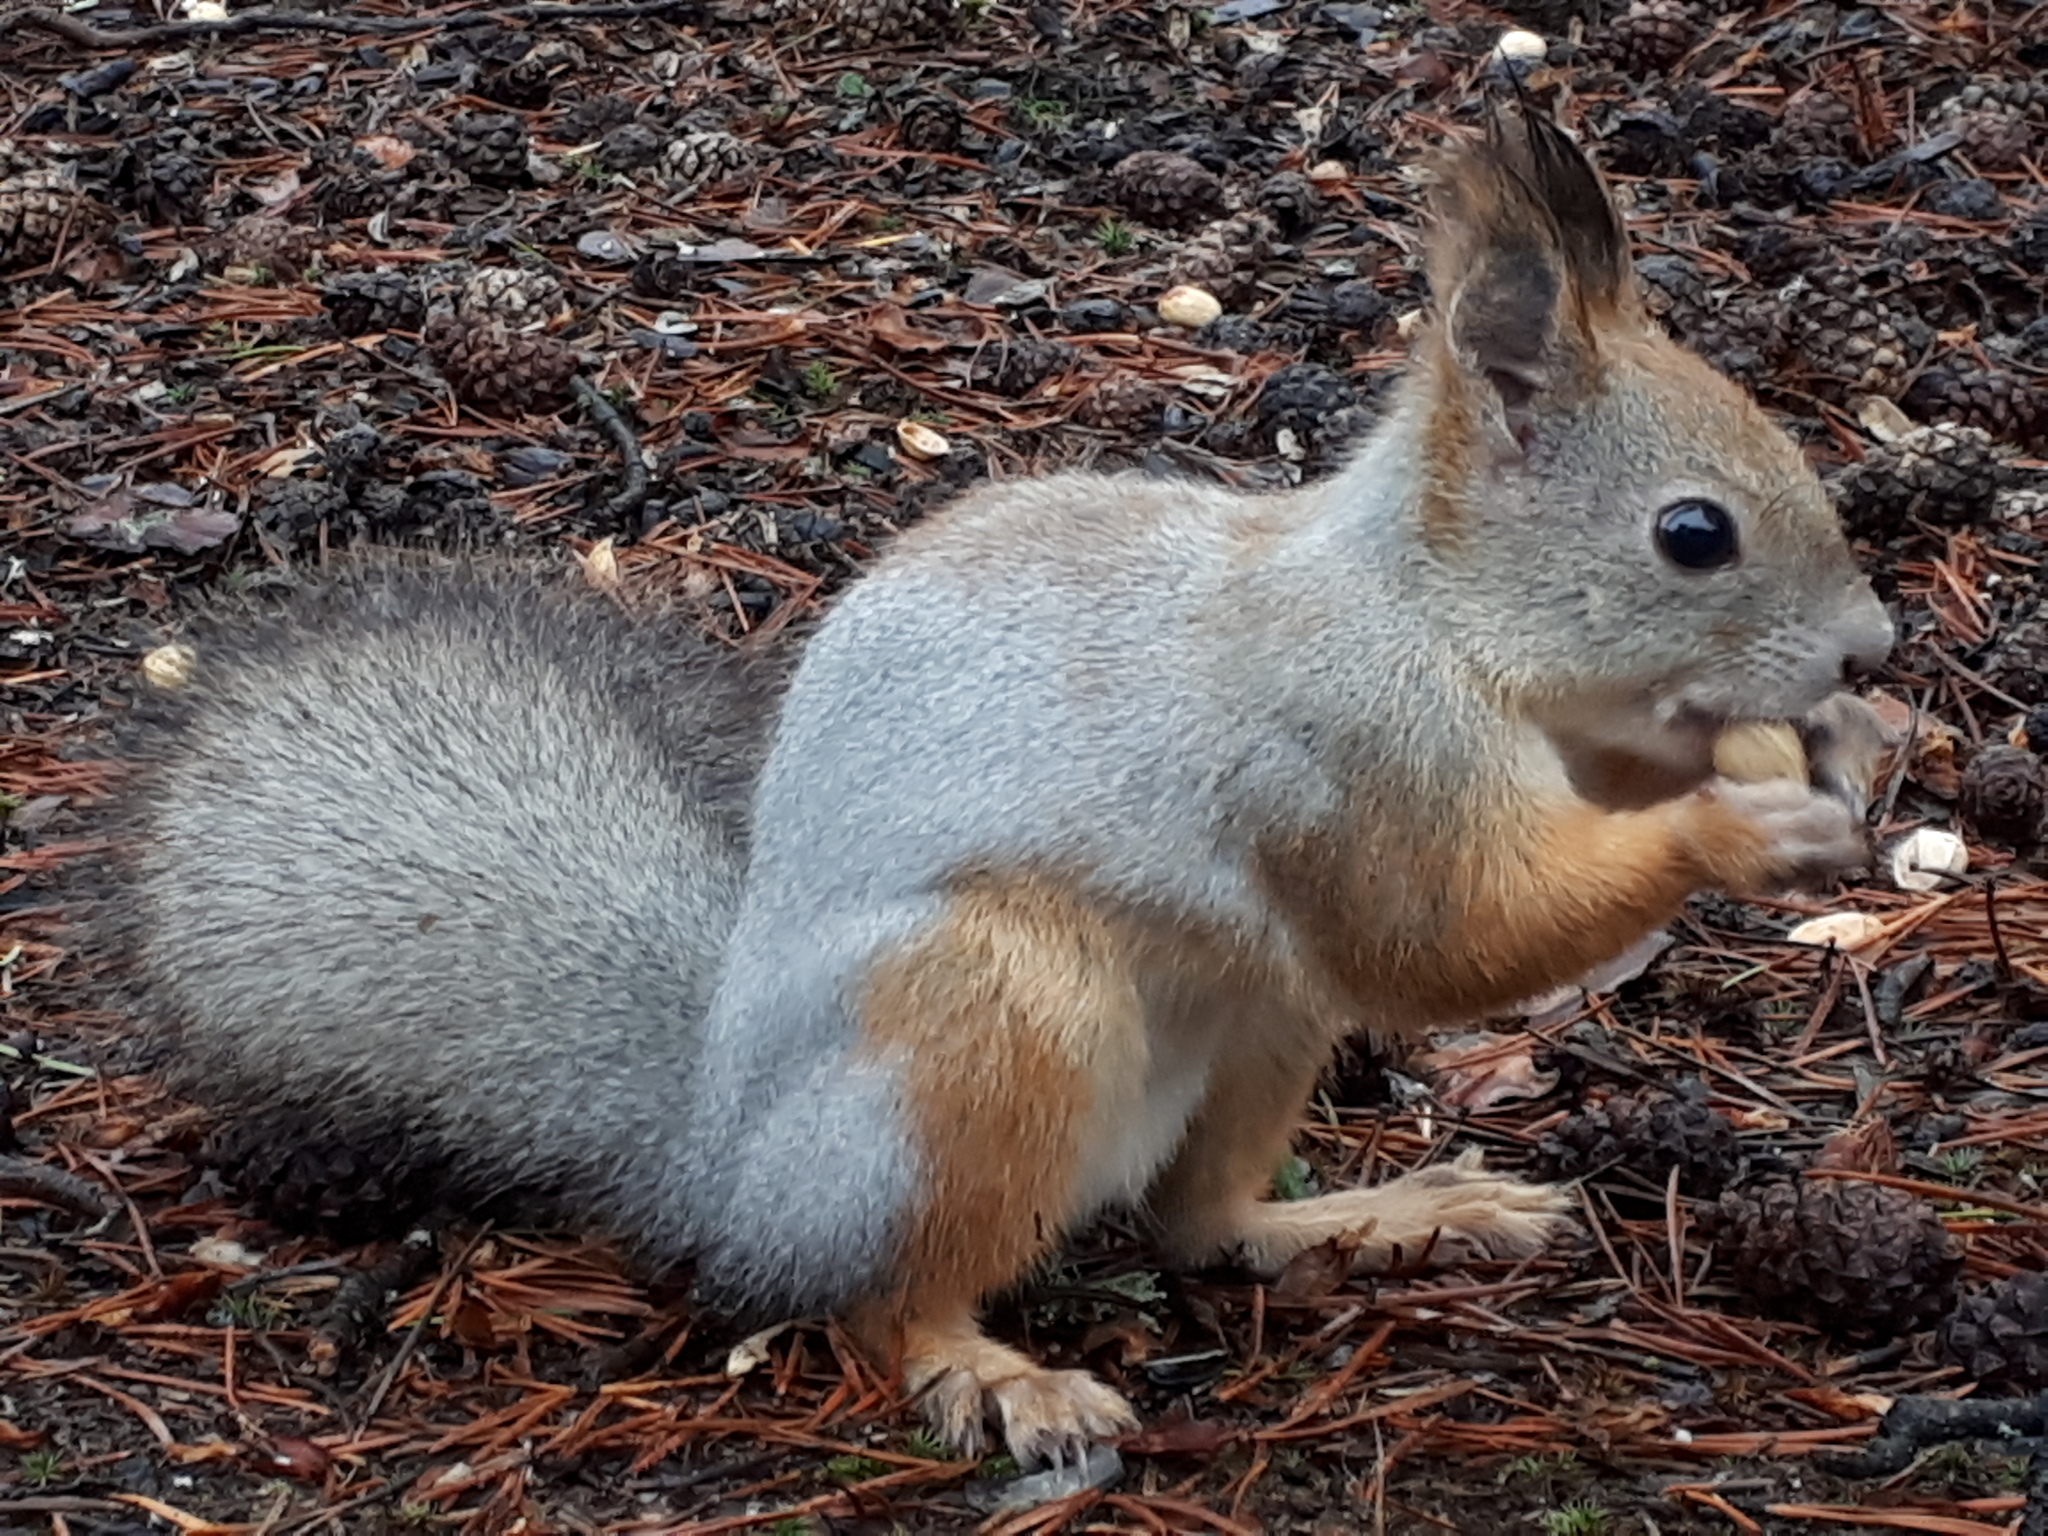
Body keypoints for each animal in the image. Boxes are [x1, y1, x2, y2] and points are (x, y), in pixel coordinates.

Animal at [92, 114, 1884, 1474]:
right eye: (1692, 533)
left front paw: (1841, 744)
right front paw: (1735, 823)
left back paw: (1376, 1220)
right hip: (990, 1017)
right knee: (883, 1294)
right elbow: (1448, 937)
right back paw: (996, 1374)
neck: (1434, 619)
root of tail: (719, 1163)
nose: (1869, 642)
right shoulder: (1341, 749)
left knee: (1199, 1224)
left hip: (1257, 1022)